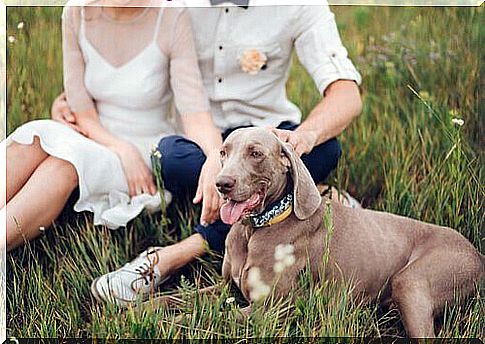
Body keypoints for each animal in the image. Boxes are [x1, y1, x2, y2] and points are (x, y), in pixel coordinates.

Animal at [216, 126, 484, 336]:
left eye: (256, 153)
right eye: (223, 152)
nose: (221, 184)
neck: (255, 230)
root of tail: (476, 253)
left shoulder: (272, 308)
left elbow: (220, 316)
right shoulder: (226, 286)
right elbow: (207, 300)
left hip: (413, 280)